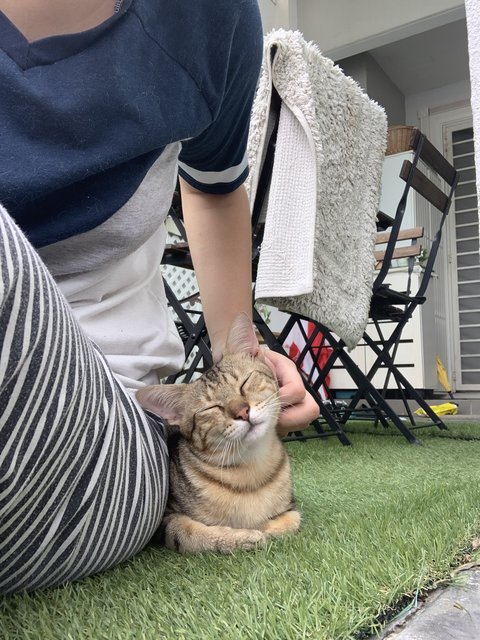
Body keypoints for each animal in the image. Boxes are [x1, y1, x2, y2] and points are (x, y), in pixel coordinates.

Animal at [136, 312, 300, 552]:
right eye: (212, 408)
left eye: (244, 383)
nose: (242, 412)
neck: (251, 473)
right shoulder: (166, 521)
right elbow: (190, 534)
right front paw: (240, 537)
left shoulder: (291, 508)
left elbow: (291, 522)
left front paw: (264, 530)